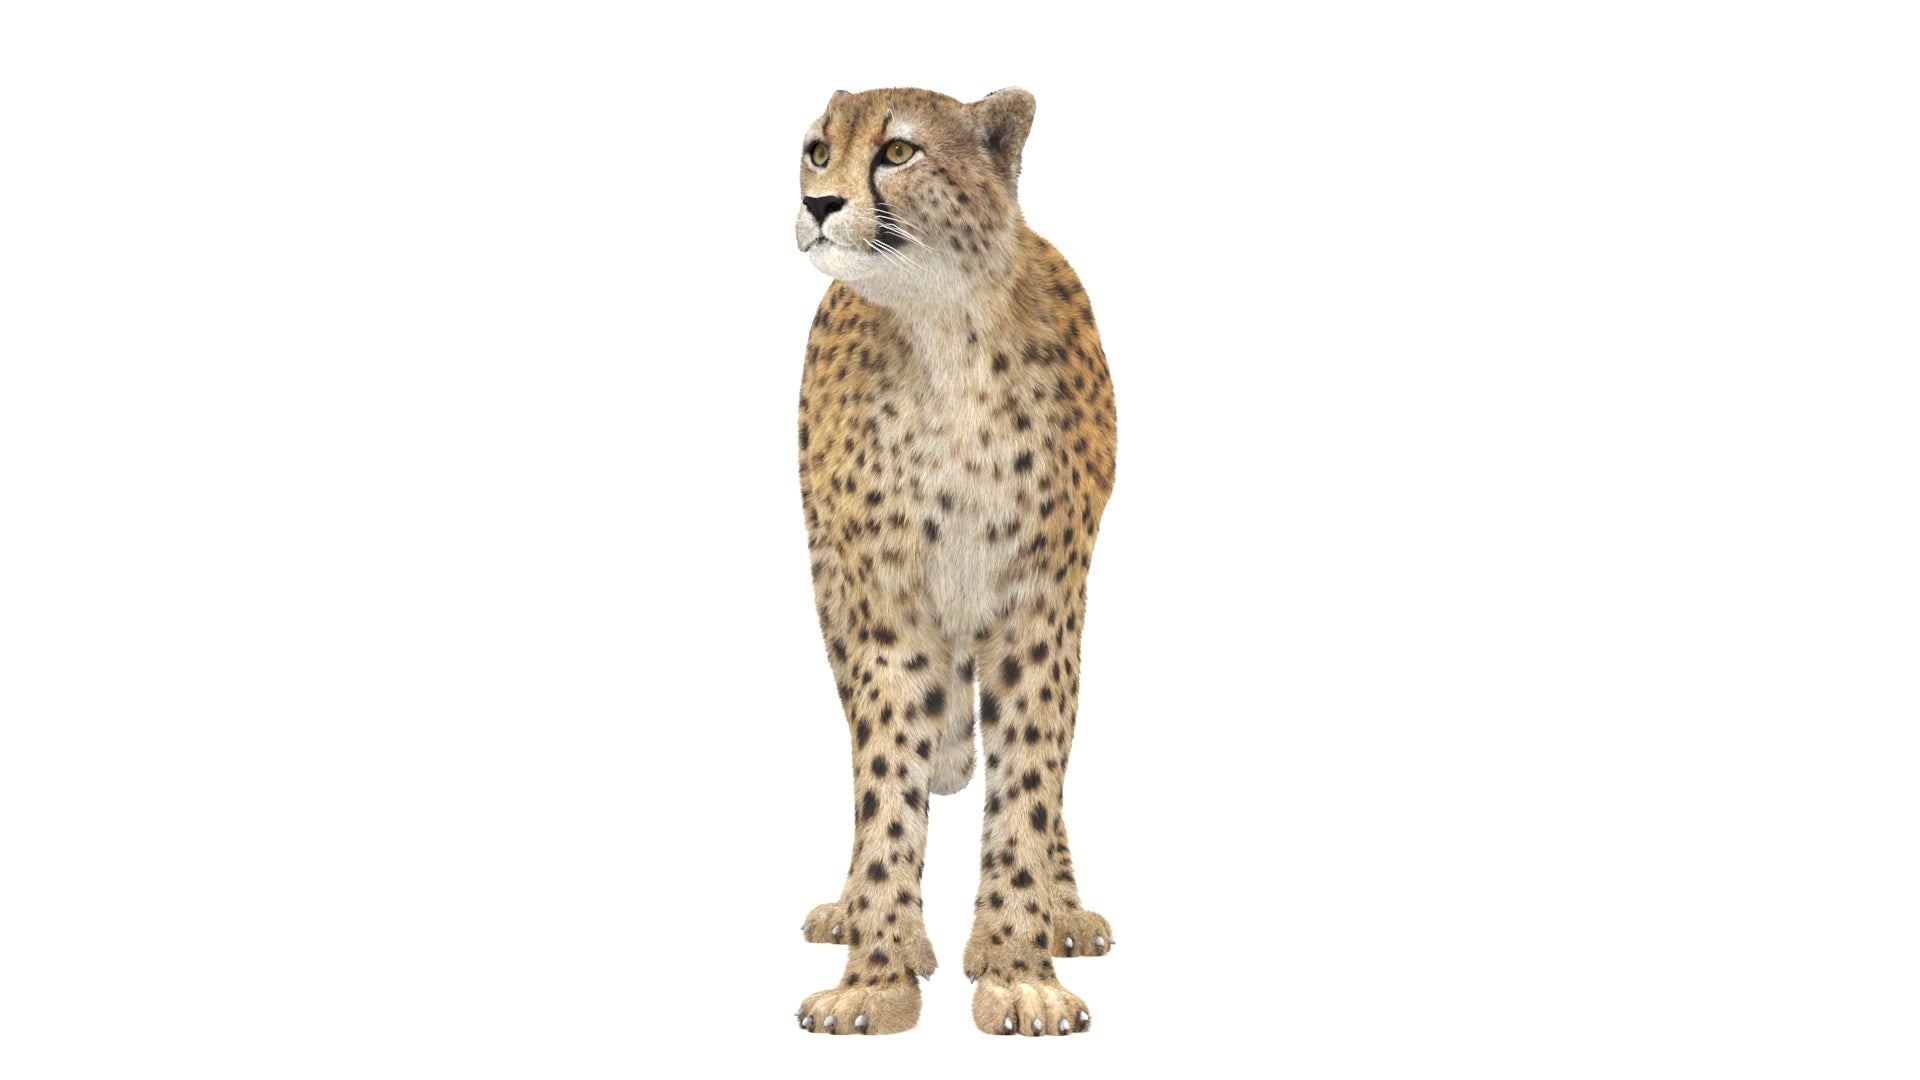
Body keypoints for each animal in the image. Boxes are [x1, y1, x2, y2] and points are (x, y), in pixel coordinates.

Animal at [790, 86, 1119, 1037]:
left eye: (898, 151)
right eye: (818, 150)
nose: (820, 203)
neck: (948, 330)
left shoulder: (1040, 608)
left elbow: (1029, 785)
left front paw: (1017, 968)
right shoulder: (887, 614)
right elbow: (884, 787)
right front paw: (877, 974)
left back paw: (1064, 911)